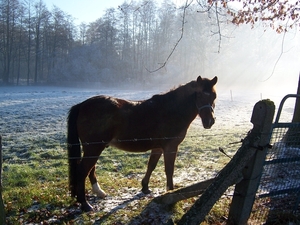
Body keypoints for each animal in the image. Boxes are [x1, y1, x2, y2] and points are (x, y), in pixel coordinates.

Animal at [67, 75, 218, 211]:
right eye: (199, 95)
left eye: (214, 97)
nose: (209, 122)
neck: (170, 110)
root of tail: (82, 105)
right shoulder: (170, 147)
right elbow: (169, 170)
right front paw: (170, 193)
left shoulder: (158, 148)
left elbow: (151, 165)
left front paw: (145, 187)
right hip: (94, 148)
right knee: (82, 171)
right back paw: (85, 204)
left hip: (95, 148)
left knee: (91, 169)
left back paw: (99, 192)